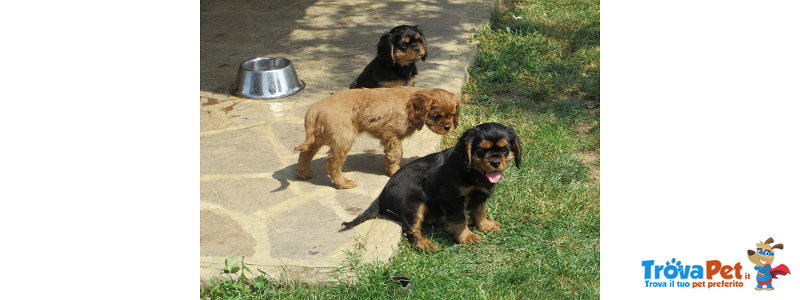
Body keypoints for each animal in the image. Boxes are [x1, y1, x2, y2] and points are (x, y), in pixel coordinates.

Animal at [294, 86, 460, 189]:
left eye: (453, 115)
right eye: (437, 116)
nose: (448, 127)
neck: (410, 103)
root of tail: (315, 109)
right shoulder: (391, 136)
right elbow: (396, 154)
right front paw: (394, 170)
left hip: (318, 138)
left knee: (305, 154)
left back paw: (303, 173)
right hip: (343, 139)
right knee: (332, 163)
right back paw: (343, 183)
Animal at [340, 122, 520, 251]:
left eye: (505, 149)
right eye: (482, 150)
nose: (495, 162)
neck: (473, 172)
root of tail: (382, 196)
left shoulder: (480, 195)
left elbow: (479, 210)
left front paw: (485, 225)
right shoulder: (452, 198)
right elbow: (460, 219)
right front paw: (467, 237)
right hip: (413, 205)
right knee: (411, 230)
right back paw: (425, 244)